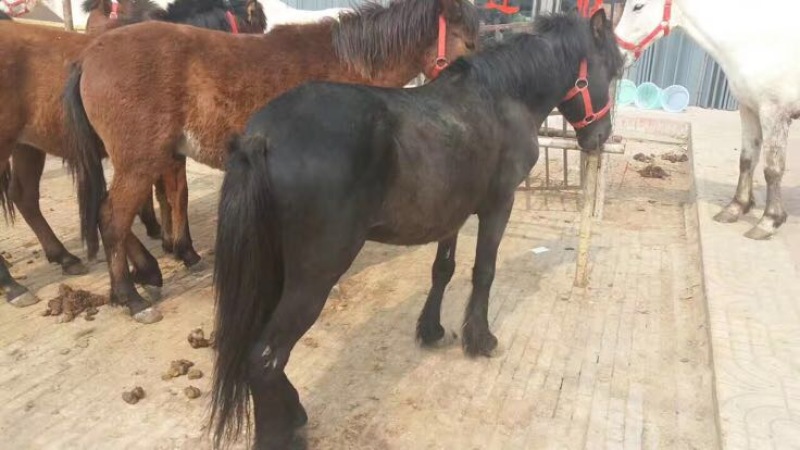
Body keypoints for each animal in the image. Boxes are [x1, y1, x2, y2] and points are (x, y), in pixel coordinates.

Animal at [0, 0, 265, 307]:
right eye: (256, 25)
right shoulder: (165, 156)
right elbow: (177, 196)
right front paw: (183, 249)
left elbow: (162, 197)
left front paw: (166, 241)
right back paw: (13, 285)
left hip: (28, 147)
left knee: (25, 196)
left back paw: (66, 257)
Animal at [210, 9, 623, 449]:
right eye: (612, 68)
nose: (601, 136)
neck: (502, 98)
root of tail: (261, 136)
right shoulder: (498, 205)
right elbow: (484, 271)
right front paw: (480, 339)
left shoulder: (451, 213)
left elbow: (443, 269)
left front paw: (431, 329)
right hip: (315, 275)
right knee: (265, 357)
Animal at [615, 0, 799, 240]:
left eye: (638, 6)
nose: (617, 54)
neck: (757, 41)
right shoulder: (749, 108)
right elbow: (747, 159)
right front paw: (736, 208)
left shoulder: (773, 112)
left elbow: (773, 169)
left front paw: (769, 221)